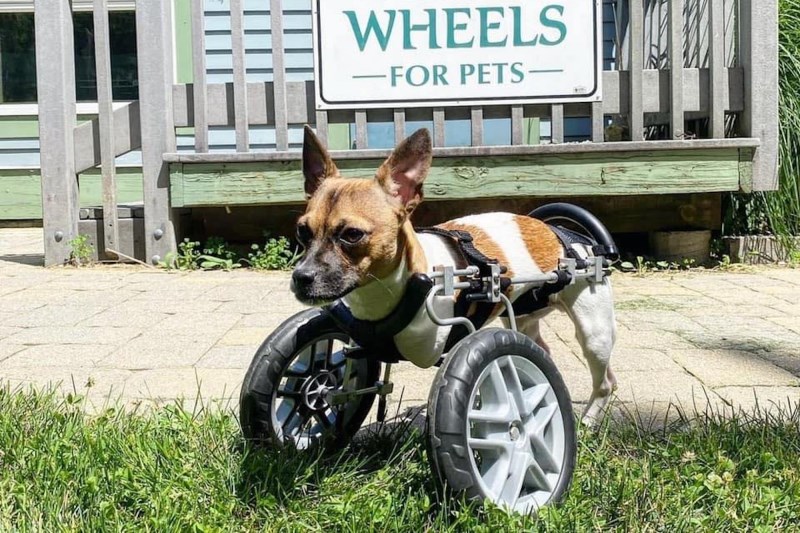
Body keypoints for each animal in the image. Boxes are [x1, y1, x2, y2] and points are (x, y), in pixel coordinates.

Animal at [290, 125, 616, 424]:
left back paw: (589, 421)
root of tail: (569, 236)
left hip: (594, 334)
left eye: (352, 235)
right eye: (302, 230)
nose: (301, 277)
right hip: (526, 318)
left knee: (605, 382)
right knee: (542, 350)